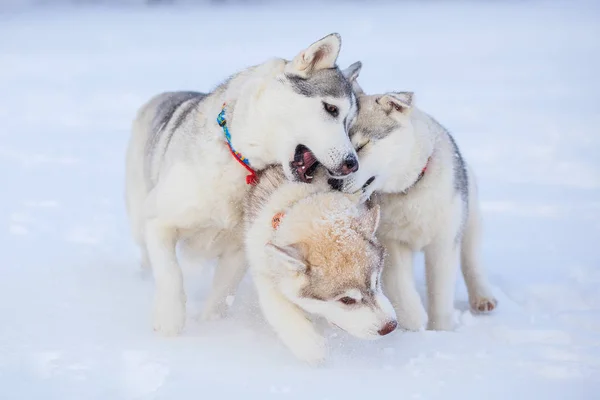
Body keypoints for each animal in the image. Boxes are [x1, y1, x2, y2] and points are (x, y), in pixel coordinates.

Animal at [125, 33, 360, 334]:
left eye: (349, 124)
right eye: (331, 108)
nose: (353, 164)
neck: (238, 159)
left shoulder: (237, 251)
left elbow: (220, 295)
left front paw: (212, 325)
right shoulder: (158, 222)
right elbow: (171, 275)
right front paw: (170, 323)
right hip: (138, 218)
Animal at [244, 165, 398, 362]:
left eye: (376, 281)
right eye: (346, 300)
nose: (390, 326)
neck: (296, 198)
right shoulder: (264, 268)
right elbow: (281, 307)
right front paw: (312, 347)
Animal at [328, 62, 496, 332]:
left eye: (361, 146)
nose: (332, 181)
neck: (409, 189)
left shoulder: (443, 243)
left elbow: (441, 292)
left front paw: (440, 330)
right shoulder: (392, 242)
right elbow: (401, 287)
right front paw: (414, 322)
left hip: (469, 215)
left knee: (471, 257)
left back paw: (482, 296)